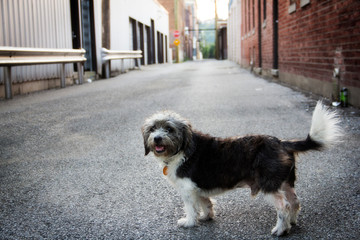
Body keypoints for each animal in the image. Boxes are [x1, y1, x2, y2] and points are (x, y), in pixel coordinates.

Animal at [142, 101, 342, 236]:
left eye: (169, 129)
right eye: (152, 128)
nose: (157, 138)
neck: (183, 148)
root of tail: (280, 142)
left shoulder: (187, 189)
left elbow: (191, 208)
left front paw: (189, 222)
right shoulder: (198, 188)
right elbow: (205, 202)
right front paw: (207, 216)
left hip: (268, 185)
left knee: (283, 206)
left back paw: (280, 230)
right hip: (285, 183)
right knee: (294, 202)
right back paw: (291, 223)